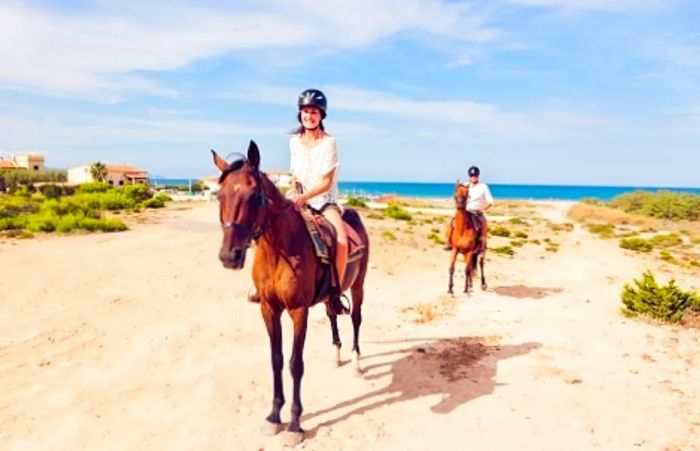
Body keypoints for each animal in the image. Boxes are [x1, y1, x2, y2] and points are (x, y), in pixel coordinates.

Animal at [211, 141, 370, 448]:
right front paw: (274, 416)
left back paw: (356, 361)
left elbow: (296, 363)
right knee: (333, 314)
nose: (229, 256)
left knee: (356, 318)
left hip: (359, 285)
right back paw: (337, 355)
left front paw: (295, 424)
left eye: (254, 196)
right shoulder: (269, 309)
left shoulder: (299, 311)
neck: (279, 251)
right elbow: (276, 359)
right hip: (329, 297)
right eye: (219, 195)